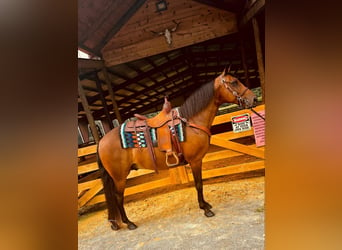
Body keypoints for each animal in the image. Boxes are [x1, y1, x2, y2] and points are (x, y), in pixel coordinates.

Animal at [96, 67, 256, 230]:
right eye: (234, 82)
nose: (254, 99)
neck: (191, 122)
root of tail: (101, 141)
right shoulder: (195, 161)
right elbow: (199, 184)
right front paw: (205, 209)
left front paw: (205, 205)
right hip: (119, 177)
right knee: (118, 197)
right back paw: (129, 223)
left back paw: (116, 222)